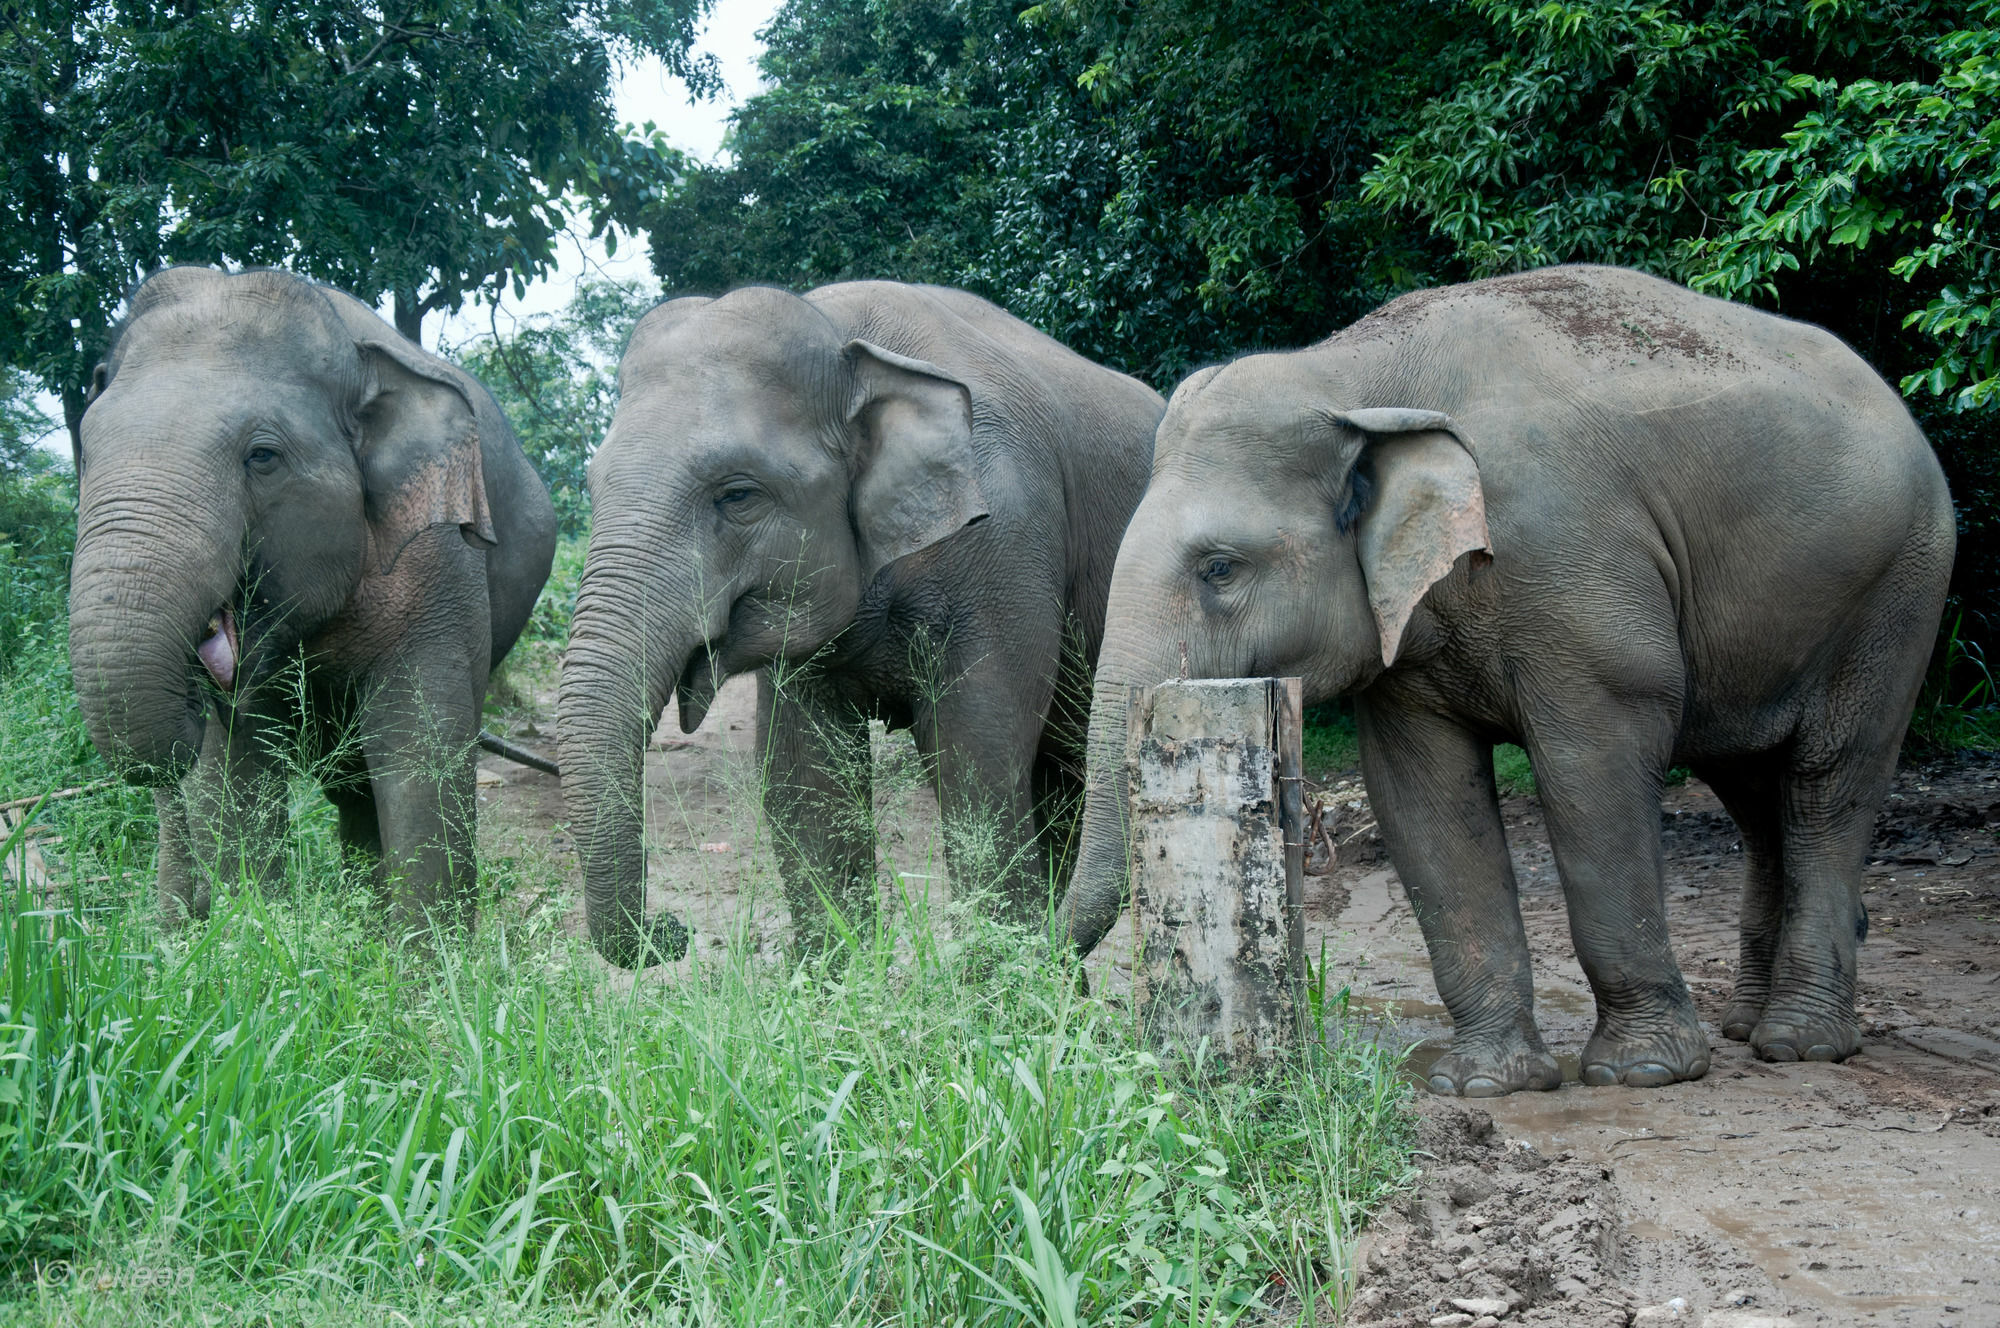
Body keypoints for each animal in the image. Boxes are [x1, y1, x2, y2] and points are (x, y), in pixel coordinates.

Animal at [70, 268, 556, 932]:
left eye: (262, 457)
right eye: (86, 451)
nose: (196, 688)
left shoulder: (439, 557)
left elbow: (421, 753)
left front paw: (426, 960)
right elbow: (235, 776)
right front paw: (255, 934)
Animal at [556, 282, 1168, 964]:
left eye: (737, 495)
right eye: (591, 485)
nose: (674, 930)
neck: (846, 339)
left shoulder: (1007, 542)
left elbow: (976, 755)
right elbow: (807, 776)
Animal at [1064, 264, 1952, 1096]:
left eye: (1219, 568)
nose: (1071, 996)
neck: (1353, 378)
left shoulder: (1575, 574)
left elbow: (1590, 775)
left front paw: (1642, 1072)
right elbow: (1421, 800)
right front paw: (1486, 1083)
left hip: (1898, 593)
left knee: (1827, 783)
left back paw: (1799, 1043)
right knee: (1753, 792)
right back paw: (1747, 1026)